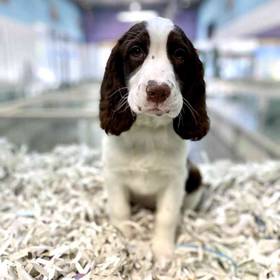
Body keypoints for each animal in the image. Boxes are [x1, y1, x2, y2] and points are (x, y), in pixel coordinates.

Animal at [99, 16, 209, 260]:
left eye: (179, 54)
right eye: (136, 51)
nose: (158, 91)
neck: (148, 131)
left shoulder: (176, 179)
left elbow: (167, 216)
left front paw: (163, 252)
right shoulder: (114, 175)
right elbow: (119, 209)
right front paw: (122, 237)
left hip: (195, 176)